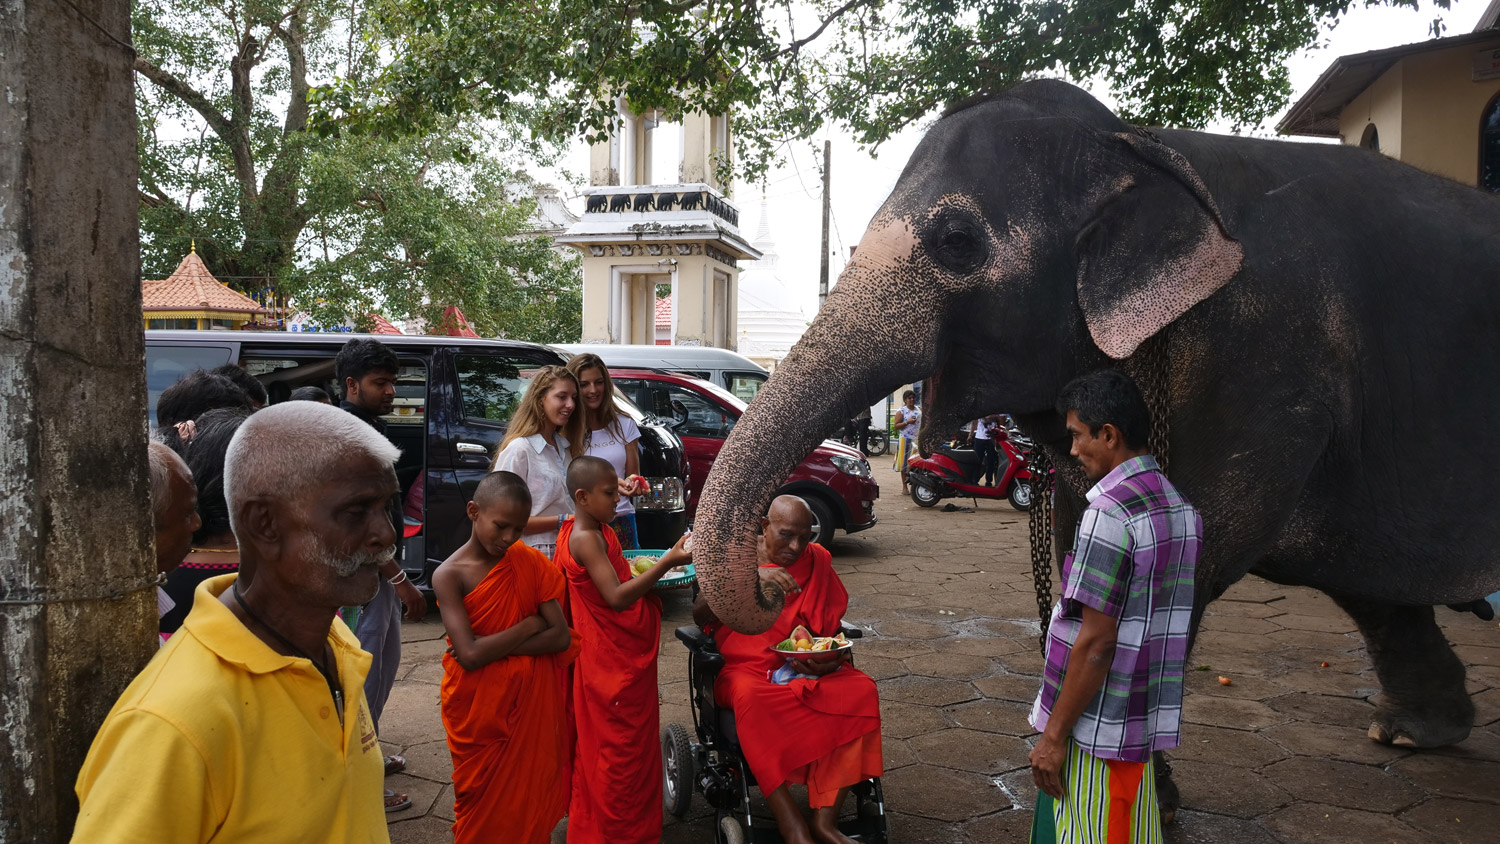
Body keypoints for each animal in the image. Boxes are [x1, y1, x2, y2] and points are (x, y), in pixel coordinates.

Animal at [693, 77, 1500, 758]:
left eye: (957, 240)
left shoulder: (1272, 363)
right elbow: (1085, 533)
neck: (1149, 147)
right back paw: (1409, 734)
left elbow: (1191, 547)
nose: (775, 585)